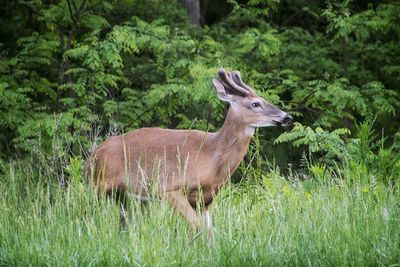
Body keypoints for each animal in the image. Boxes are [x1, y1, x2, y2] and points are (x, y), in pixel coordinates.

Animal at [86, 68, 292, 238]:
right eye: (256, 103)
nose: (287, 117)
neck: (212, 155)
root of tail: (93, 155)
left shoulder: (205, 199)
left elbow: (207, 231)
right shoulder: (169, 187)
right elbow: (199, 227)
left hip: (126, 196)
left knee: (123, 223)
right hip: (98, 185)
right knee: (85, 215)